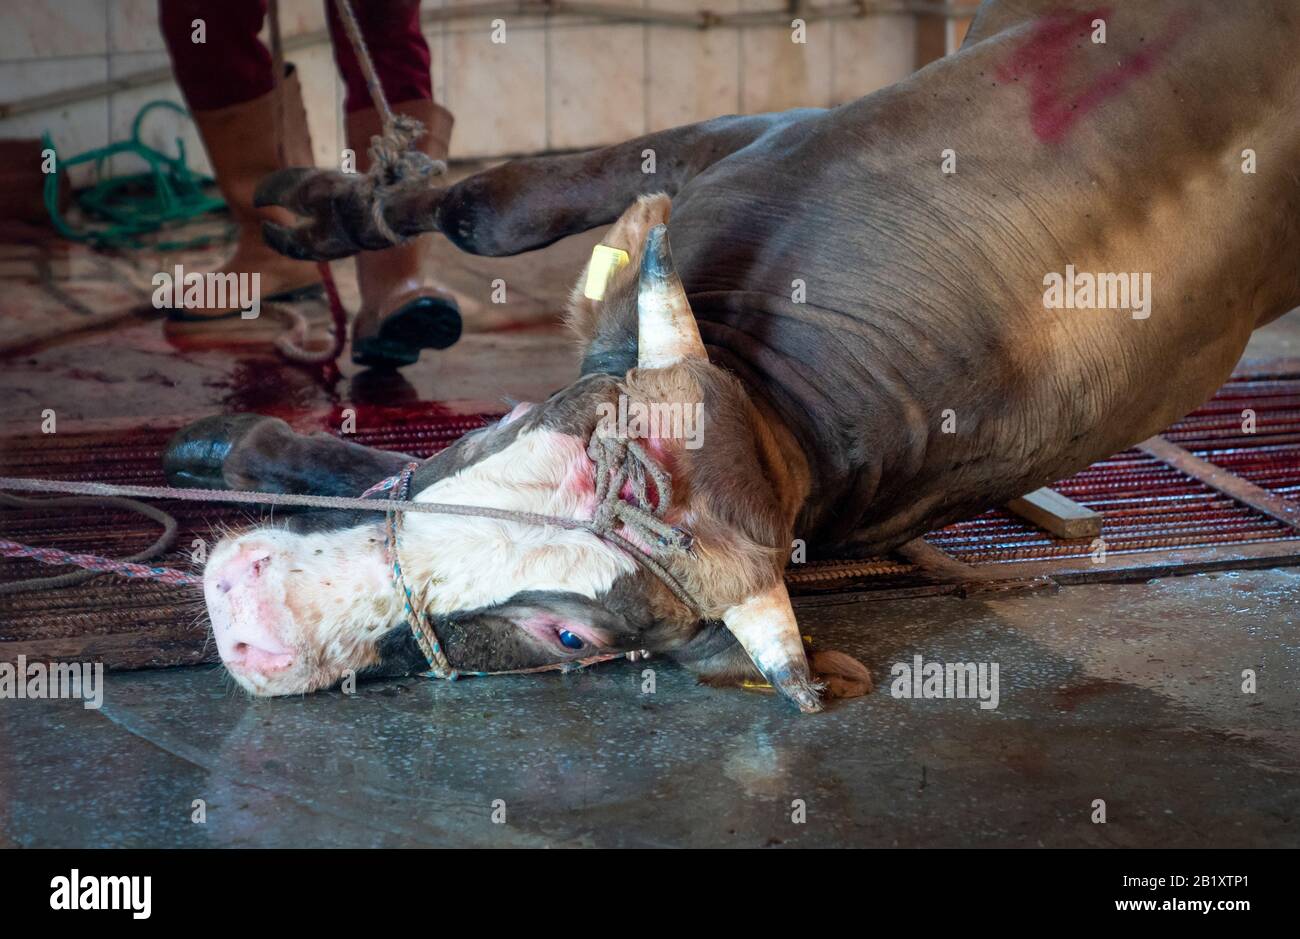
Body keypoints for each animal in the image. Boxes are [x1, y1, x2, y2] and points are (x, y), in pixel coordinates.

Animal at [162, 0, 1300, 707]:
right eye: (527, 425)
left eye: (569, 638)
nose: (250, 611)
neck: (792, 411)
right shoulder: (762, 135)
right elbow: (491, 206)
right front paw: (326, 207)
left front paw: (234, 442)